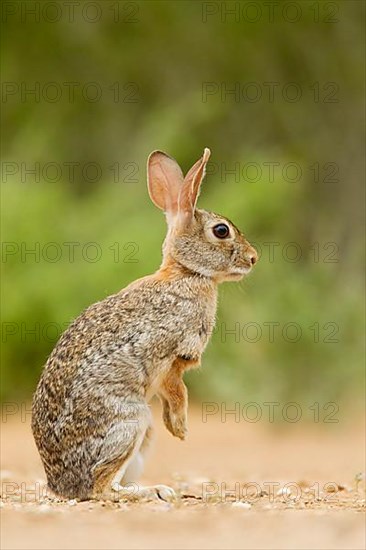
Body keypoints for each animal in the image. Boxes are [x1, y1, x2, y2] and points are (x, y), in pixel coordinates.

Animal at [33, 148, 258, 504]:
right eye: (221, 231)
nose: (253, 258)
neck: (187, 273)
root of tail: (63, 486)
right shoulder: (172, 354)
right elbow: (177, 391)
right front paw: (180, 429)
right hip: (132, 421)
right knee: (101, 488)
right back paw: (152, 492)